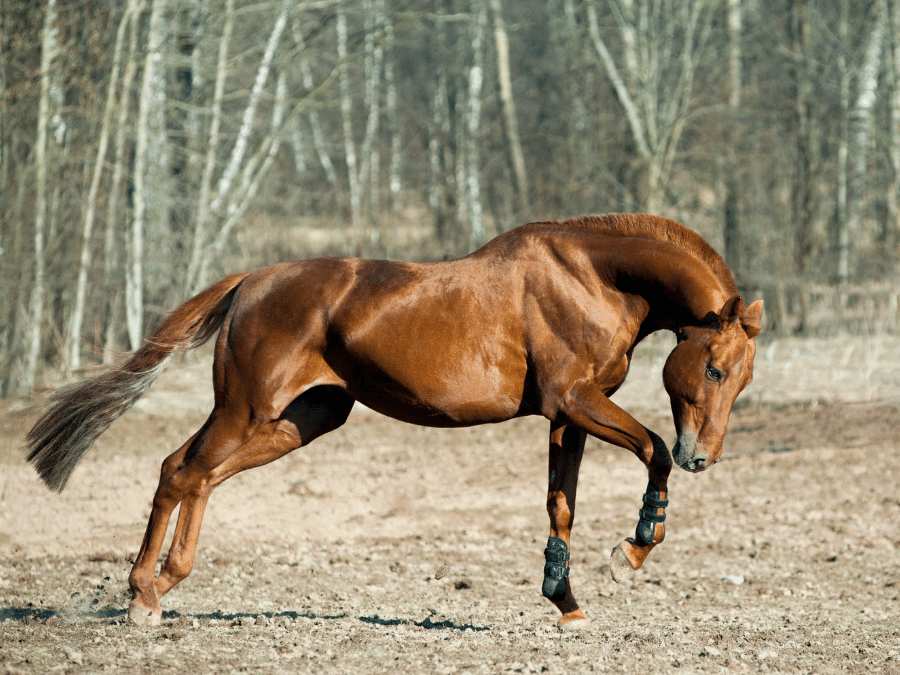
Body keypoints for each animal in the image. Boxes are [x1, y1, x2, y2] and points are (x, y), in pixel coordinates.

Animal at [26, 215, 760, 628]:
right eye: (714, 368)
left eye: (743, 377)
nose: (704, 456)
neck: (593, 276)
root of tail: (251, 282)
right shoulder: (578, 401)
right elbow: (652, 449)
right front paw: (630, 552)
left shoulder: (568, 414)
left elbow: (561, 505)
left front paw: (565, 601)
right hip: (246, 410)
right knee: (182, 472)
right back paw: (143, 597)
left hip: (295, 422)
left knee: (193, 472)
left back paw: (159, 584)